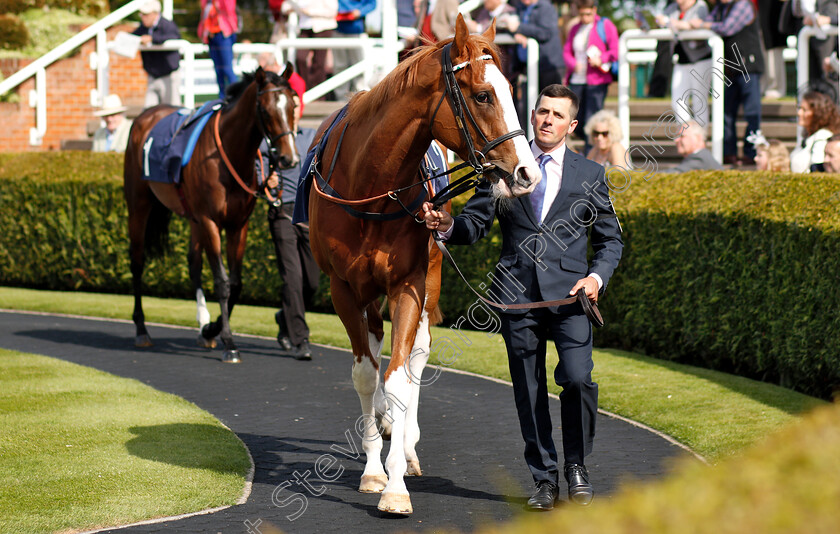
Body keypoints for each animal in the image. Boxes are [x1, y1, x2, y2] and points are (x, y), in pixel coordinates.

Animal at [122, 65, 298, 362]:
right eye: (265, 110)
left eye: (293, 105)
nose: (289, 159)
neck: (228, 152)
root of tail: (146, 114)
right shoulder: (210, 221)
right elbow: (222, 282)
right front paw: (229, 342)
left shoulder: (238, 225)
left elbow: (236, 283)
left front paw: (212, 329)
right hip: (139, 206)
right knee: (137, 261)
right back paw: (141, 329)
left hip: (192, 218)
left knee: (193, 263)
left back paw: (202, 324)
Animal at [306, 16, 540, 516]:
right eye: (483, 95)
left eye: (512, 90)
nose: (527, 173)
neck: (370, 187)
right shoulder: (342, 288)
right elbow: (365, 373)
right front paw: (374, 469)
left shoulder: (408, 284)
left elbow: (399, 376)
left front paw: (395, 483)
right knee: (376, 346)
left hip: (430, 274)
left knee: (415, 354)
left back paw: (406, 443)